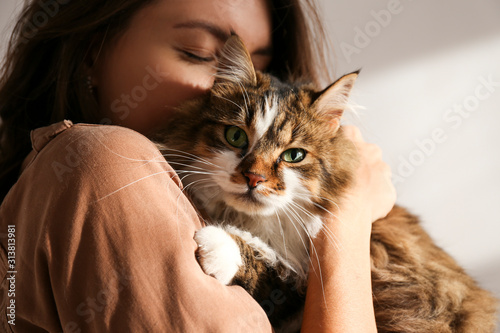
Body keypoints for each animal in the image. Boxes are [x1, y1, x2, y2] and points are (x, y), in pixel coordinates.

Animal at [150, 35, 498, 330]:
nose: (254, 178)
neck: (261, 224)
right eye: (235, 136)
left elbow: (271, 267)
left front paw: (217, 244)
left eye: (294, 155)